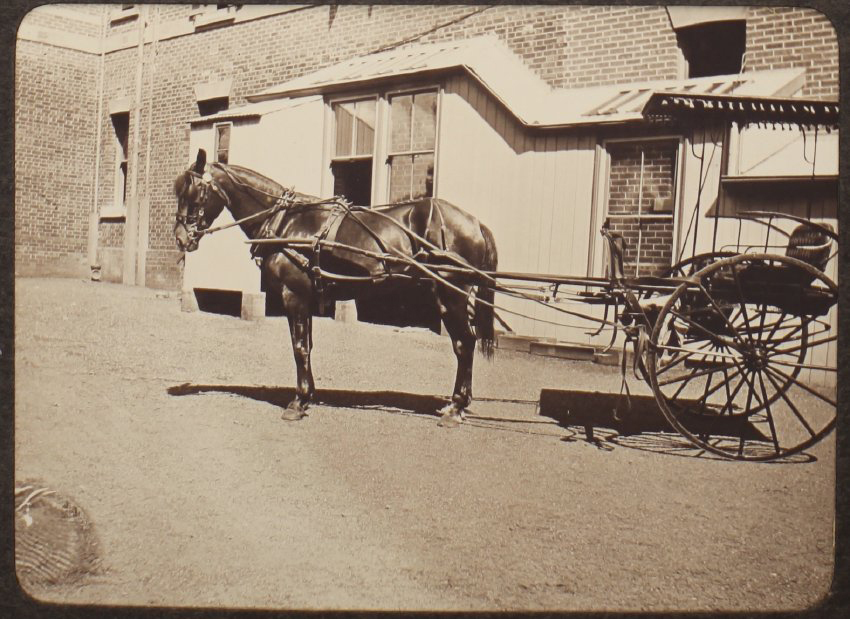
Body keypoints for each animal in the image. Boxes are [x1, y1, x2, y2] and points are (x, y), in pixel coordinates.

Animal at [174, 149, 498, 427]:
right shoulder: (307, 298)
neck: (286, 222)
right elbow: (308, 346)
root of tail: (475, 222)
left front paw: (298, 402)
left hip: (452, 294)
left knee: (465, 343)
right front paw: (308, 396)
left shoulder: (294, 295)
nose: (180, 238)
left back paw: (456, 407)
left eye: (194, 192)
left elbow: (299, 348)